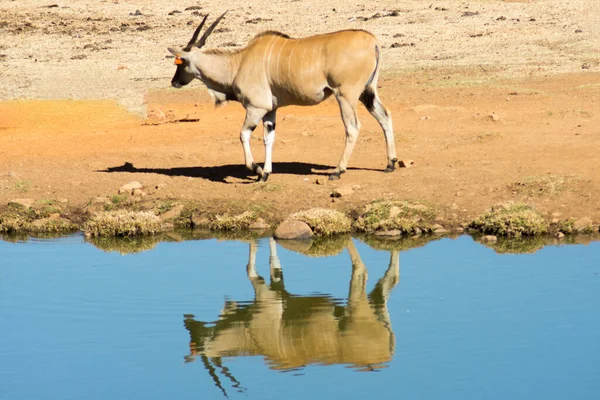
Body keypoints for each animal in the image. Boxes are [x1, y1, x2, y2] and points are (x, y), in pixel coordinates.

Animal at [168, 12, 398, 181]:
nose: (174, 82)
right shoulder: (271, 110)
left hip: (345, 95)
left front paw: (257, 170)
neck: (238, 63)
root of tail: (372, 42)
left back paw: (338, 170)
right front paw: (266, 173)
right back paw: (390, 163)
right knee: (385, 116)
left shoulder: (256, 108)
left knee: (352, 127)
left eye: (180, 62)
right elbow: (269, 138)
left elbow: (243, 134)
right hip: (367, 92)